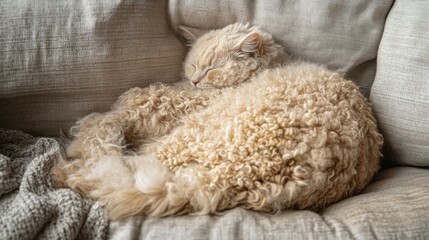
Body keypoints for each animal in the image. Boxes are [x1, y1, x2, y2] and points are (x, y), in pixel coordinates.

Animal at [51, 22, 382, 219]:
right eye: (194, 66)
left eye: (211, 69)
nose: (195, 80)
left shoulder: (177, 104)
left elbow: (135, 103)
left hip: (185, 138)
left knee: (111, 163)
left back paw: (69, 165)